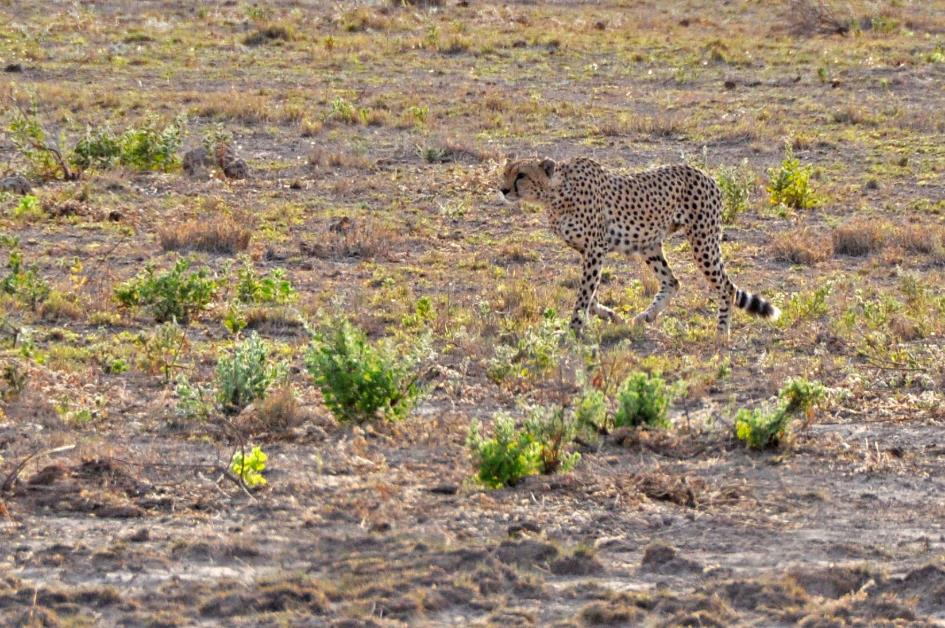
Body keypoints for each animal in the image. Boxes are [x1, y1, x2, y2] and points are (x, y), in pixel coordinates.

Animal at [498, 155, 780, 338]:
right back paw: (644, 317)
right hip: (650, 244)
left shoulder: (595, 249)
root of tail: (706, 175)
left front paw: (573, 329)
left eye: (521, 175)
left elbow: (584, 294)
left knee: (726, 287)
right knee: (672, 281)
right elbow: (591, 295)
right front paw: (609, 315)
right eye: (506, 172)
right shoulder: (586, 251)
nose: (502, 190)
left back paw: (721, 331)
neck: (556, 193)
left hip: (703, 241)